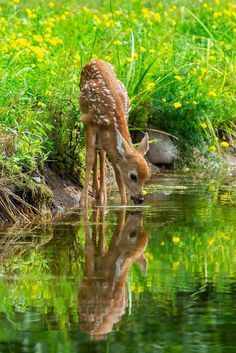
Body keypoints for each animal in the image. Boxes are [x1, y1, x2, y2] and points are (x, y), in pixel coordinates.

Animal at [79, 57, 149, 206]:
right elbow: (89, 157)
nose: (140, 199)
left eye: (147, 176)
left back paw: (101, 193)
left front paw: (123, 203)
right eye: (133, 176)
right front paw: (83, 202)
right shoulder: (90, 122)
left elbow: (117, 171)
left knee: (102, 152)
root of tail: (95, 59)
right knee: (97, 153)